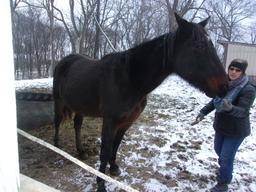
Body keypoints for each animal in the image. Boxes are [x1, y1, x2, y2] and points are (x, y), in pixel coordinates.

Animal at [53, 13, 228, 190]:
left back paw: (81, 151)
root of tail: (66, 60)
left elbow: (116, 145)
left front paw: (114, 168)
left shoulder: (126, 122)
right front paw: (101, 183)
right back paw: (56, 146)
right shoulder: (110, 121)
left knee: (77, 124)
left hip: (80, 105)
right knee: (57, 121)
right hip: (58, 101)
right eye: (198, 46)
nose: (225, 86)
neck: (129, 79)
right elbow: (105, 150)